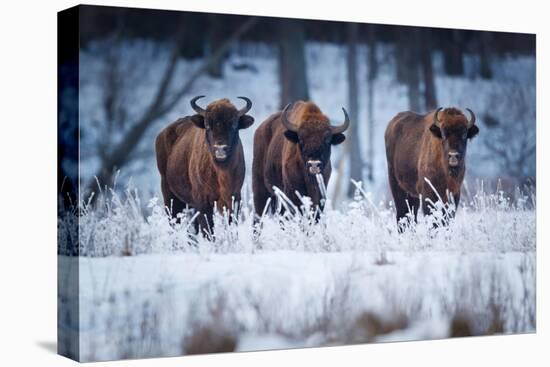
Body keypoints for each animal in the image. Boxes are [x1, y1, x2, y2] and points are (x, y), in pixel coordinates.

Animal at [156, 95, 256, 233]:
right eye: (208, 126)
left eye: (234, 125)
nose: (220, 148)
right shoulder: (203, 202)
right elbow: (207, 230)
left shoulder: (234, 198)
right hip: (169, 194)